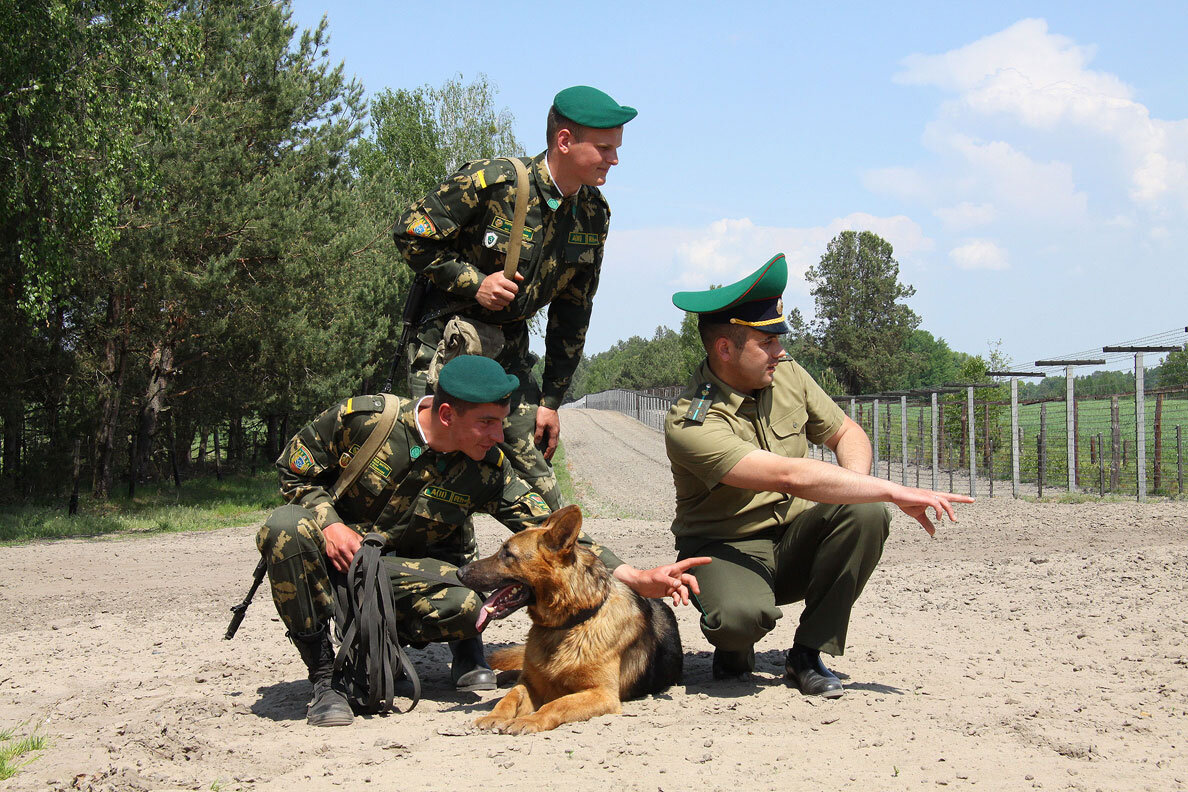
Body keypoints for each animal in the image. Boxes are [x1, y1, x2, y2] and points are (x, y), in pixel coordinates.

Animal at [453, 505, 684, 736]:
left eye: (508, 554)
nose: (458, 572)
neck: (569, 625)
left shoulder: (602, 694)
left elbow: (557, 704)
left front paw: (530, 720)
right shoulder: (530, 684)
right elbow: (509, 697)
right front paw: (493, 716)